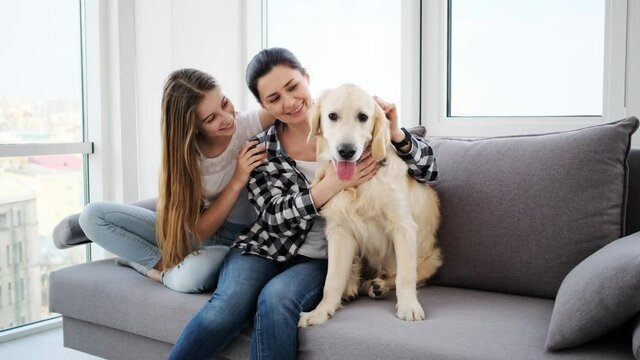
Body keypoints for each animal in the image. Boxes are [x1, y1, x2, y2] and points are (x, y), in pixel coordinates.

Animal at [298, 83, 440, 326]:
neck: (359, 187)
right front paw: (321, 312)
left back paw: (378, 285)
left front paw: (409, 306)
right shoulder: (340, 231)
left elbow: (406, 276)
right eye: (332, 116)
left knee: (405, 275)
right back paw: (353, 285)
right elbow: (331, 281)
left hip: (432, 258)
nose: (346, 150)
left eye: (363, 117)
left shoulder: (403, 226)